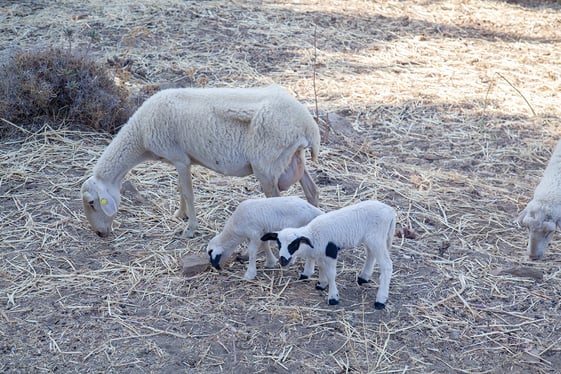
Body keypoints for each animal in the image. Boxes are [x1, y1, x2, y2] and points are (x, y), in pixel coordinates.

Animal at [81, 85, 322, 237]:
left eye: (92, 203)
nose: (100, 233)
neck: (140, 135)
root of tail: (309, 126)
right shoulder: (180, 159)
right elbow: (180, 189)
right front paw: (180, 215)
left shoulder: (179, 158)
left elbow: (188, 192)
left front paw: (190, 229)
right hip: (292, 158)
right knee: (312, 190)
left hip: (267, 167)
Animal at [262, 202, 396, 310]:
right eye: (278, 243)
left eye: (294, 244)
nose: (283, 260)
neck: (313, 235)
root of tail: (390, 211)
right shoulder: (321, 253)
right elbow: (322, 267)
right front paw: (321, 284)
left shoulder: (331, 252)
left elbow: (331, 274)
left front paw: (333, 297)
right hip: (370, 239)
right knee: (371, 254)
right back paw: (363, 277)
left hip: (377, 238)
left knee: (387, 265)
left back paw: (380, 300)